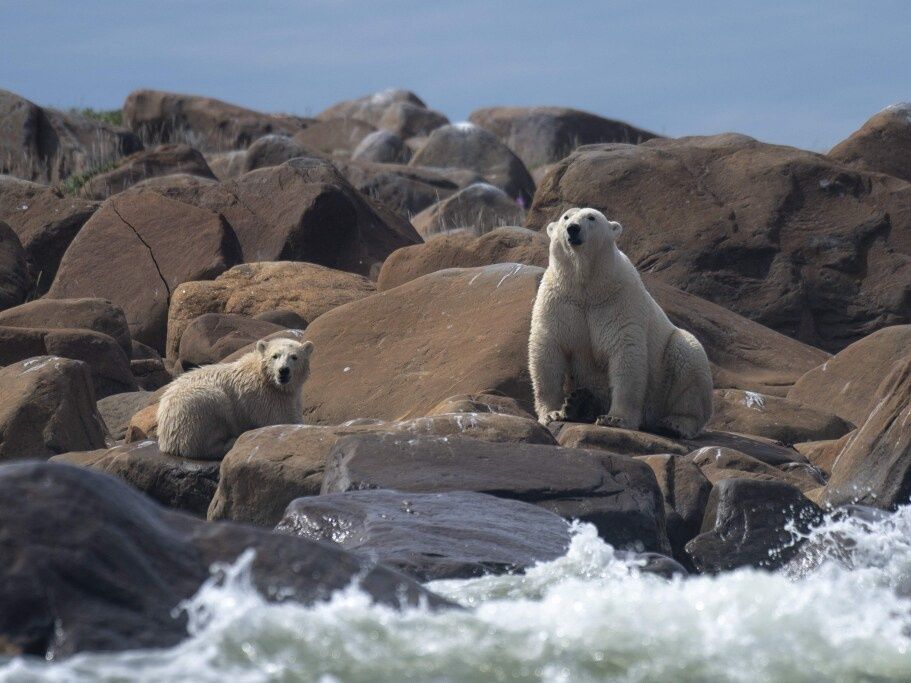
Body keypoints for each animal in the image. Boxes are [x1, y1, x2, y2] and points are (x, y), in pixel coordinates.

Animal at [157, 338, 314, 460]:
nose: (283, 370)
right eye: (275, 356)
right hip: (196, 406)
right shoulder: (264, 399)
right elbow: (280, 421)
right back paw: (231, 442)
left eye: (294, 357)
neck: (265, 377)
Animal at [532, 207, 716, 438]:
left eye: (591, 217)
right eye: (566, 217)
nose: (573, 228)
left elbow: (625, 352)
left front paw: (615, 419)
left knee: (688, 361)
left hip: (667, 371)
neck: (587, 285)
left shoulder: (619, 300)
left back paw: (675, 423)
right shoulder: (560, 301)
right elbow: (548, 349)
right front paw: (553, 413)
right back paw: (579, 404)